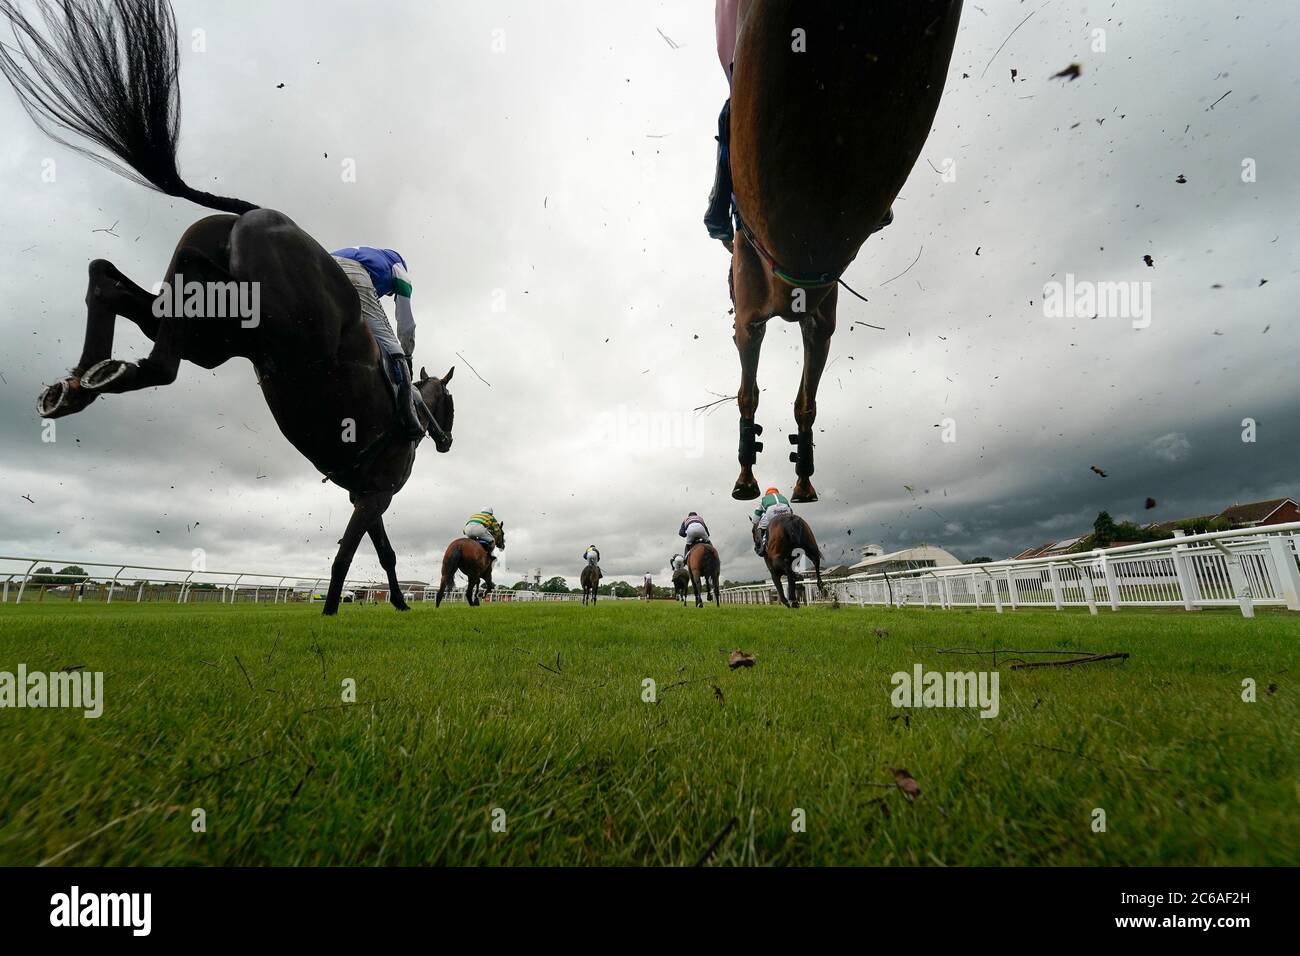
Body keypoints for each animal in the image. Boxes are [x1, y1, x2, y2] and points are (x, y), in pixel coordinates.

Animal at [0, 0, 457, 616]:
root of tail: (259, 212)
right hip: (258, 331)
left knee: (109, 282)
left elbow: (376, 550)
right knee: (161, 362)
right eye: (450, 404)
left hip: (215, 327)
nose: (447, 439)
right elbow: (354, 552)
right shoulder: (376, 493)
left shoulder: (366, 493)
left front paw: (391, 606)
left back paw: (79, 381)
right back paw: (107, 374)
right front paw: (342, 609)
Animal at [728, 0, 961, 504]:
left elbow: (801, 402)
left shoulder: (814, 319)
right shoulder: (756, 316)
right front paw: (748, 473)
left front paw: (799, 477)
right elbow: (754, 393)